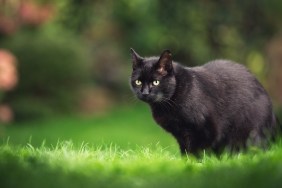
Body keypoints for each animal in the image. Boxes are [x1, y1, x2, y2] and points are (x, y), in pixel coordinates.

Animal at [131, 48, 280, 156]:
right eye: (138, 82)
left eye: (155, 82)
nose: (145, 93)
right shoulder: (181, 135)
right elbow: (185, 151)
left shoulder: (206, 130)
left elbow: (197, 152)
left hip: (250, 134)